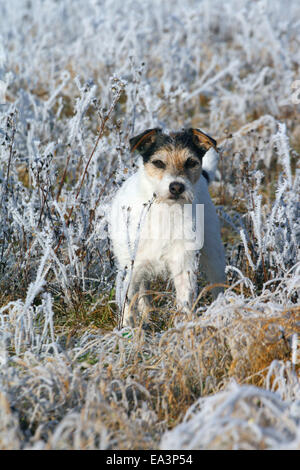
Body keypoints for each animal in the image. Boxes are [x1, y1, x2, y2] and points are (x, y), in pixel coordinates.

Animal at [109, 127, 226, 326]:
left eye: (191, 162)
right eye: (158, 162)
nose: (177, 187)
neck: (163, 209)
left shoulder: (184, 264)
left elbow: (185, 299)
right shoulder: (130, 268)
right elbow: (128, 303)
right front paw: (128, 330)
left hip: (214, 255)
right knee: (143, 292)